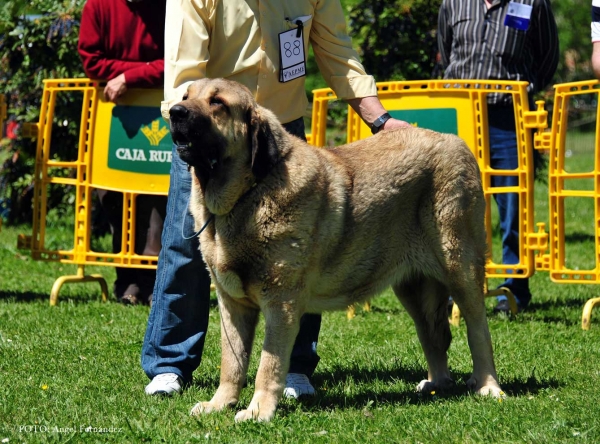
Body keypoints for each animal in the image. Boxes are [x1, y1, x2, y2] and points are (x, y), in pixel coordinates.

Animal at [169, 78, 502, 422]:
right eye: (186, 96)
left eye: (217, 103)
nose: (174, 112)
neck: (247, 195)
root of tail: (455, 141)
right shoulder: (232, 304)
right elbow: (232, 362)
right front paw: (219, 404)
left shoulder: (280, 303)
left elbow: (268, 364)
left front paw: (258, 411)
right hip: (413, 288)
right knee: (432, 335)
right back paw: (436, 384)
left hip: (460, 266)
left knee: (478, 330)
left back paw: (488, 387)